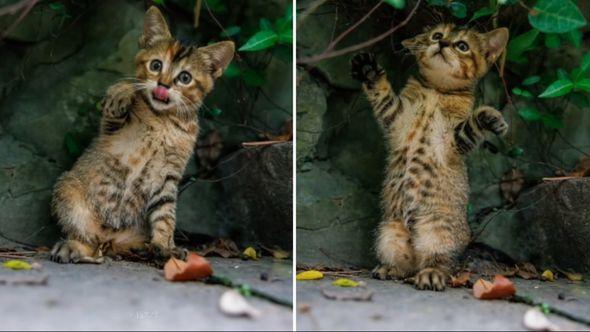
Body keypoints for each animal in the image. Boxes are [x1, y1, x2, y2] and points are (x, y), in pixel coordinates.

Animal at [50, 5, 236, 264]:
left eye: (185, 78)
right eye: (156, 65)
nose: (163, 85)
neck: (162, 120)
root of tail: (110, 237)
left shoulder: (169, 175)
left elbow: (165, 215)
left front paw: (165, 245)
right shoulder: (110, 132)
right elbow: (115, 106)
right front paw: (122, 90)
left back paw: (145, 249)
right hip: (68, 189)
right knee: (87, 238)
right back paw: (75, 249)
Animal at [354, 24, 512, 290]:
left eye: (462, 46)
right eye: (437, 35)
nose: (443, 43)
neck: (436, 92)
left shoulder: (450, 143)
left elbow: (470, 126)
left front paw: (489, 117)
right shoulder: (396, 118)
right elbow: (383, 95)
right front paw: (369, 71)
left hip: (437, 230)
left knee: (441, 264)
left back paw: (431, 274)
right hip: (389, 232)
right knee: (408, 266)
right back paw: (392, 269)